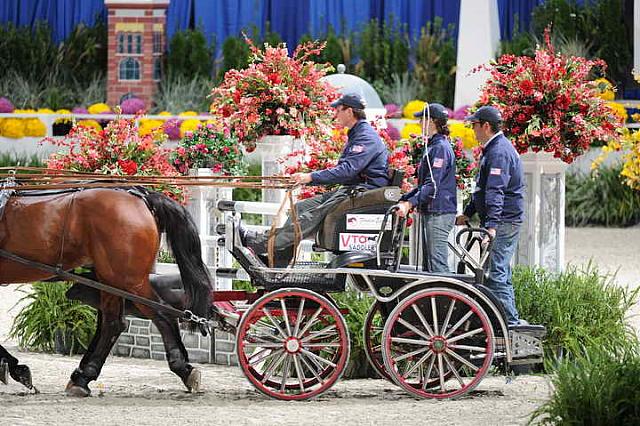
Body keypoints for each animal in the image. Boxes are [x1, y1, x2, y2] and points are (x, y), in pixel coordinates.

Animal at [0, 186, 215, 396]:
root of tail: (141, 196)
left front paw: (16, 369)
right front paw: (15, 369)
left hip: (128, 281)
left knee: (161, 316)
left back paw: (183, 369)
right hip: (111, 280)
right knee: (113, 323)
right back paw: (82, 378)